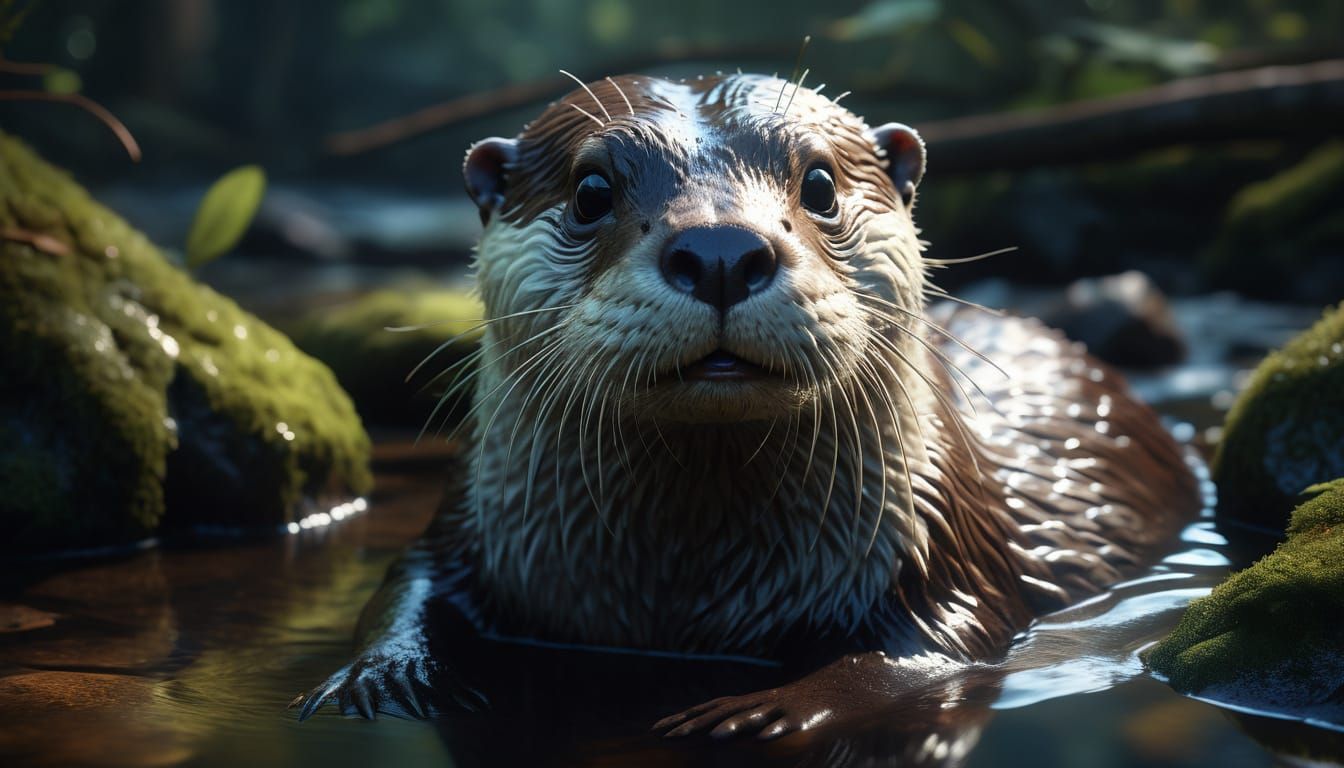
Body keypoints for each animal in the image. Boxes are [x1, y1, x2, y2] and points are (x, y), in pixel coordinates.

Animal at [297, 73, 1199, 739]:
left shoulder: (944, 550)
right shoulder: (465, 526)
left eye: (821, 183)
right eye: (591, 190)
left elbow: (921, 656)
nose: (723, 248)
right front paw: (381, 677)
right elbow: (404, 583)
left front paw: (770, 708)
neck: (684, 591)